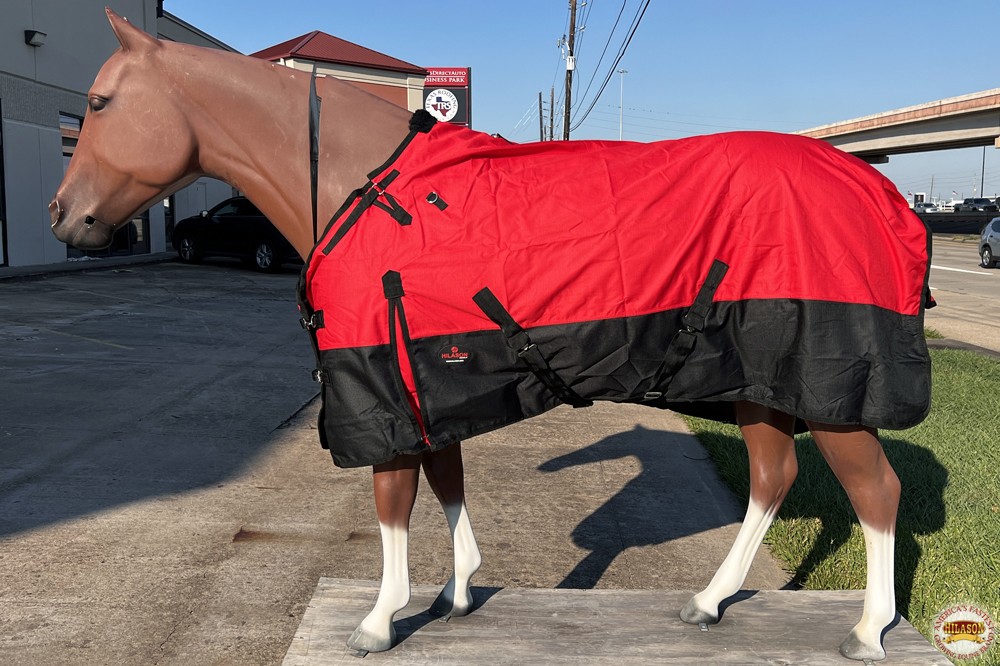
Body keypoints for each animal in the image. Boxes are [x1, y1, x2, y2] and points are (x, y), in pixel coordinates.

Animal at [50, 9, 931, 661]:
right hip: (759, 381)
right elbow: (446, 483)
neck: (363, 188)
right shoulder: (430, 386)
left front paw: (379, 620)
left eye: (98, 103)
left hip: (829, 392)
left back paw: (865, 630)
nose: (65, 217)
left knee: (877, 492)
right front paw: (458, 591)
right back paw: (710, 602)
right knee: (773, 479)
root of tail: (878, 188)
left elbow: (394, 500)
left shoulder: (385, 389)